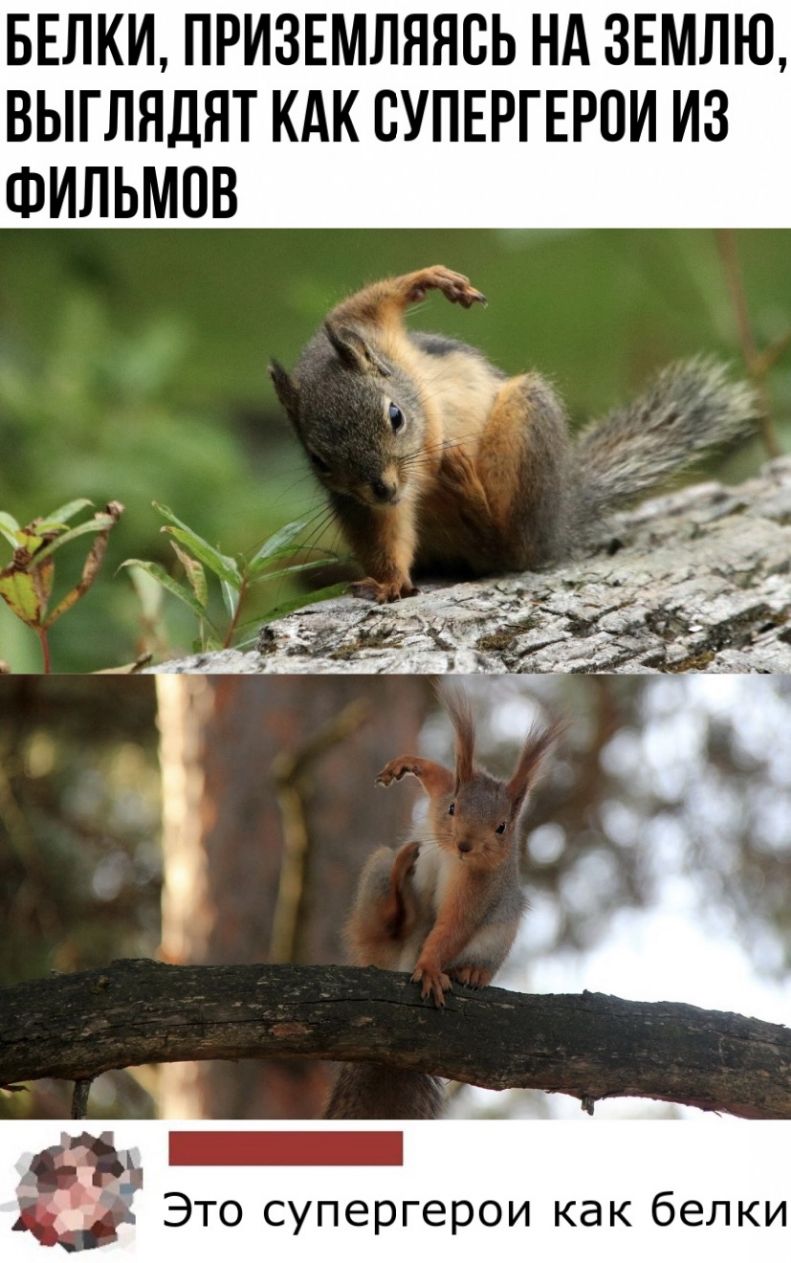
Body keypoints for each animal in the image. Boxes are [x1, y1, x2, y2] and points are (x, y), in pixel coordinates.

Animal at [270, 261, 758, 601]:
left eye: (395, 416)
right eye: (319, 461)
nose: (385, 489)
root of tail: (558, 522)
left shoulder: (360, 324)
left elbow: (369, 300)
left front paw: (435, 279)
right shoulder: (364, 506)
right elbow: (385, 535)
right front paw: (388, 582)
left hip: (525, 416)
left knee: (510, 548)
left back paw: (469, 488)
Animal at [320, 692, 553, 1116]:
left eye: (502, 827)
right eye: (453, 808)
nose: (464, 844)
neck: (451, 855)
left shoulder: (476, 889)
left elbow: (452, 927)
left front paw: (430, 967)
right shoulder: (445, 789)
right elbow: (438, 777)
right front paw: (406, 765)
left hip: (501, 930)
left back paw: (471, 971)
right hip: (376, 879)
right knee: (388, 919)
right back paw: (401, 894)